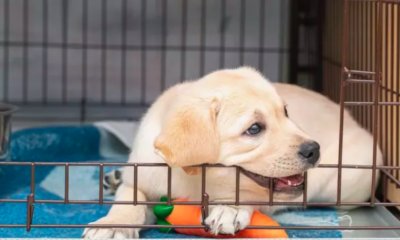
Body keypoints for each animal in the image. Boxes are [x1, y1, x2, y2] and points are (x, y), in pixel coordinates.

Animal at [83, 67, 382, 238]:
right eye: (254, 129)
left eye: (286, 113)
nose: (314, 149)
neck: (195, 181)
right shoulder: (143, 175)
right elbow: (129, 199)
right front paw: (113, 224)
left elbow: (247, 195)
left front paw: (230, 208)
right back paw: (115, 177)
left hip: (346, 185)